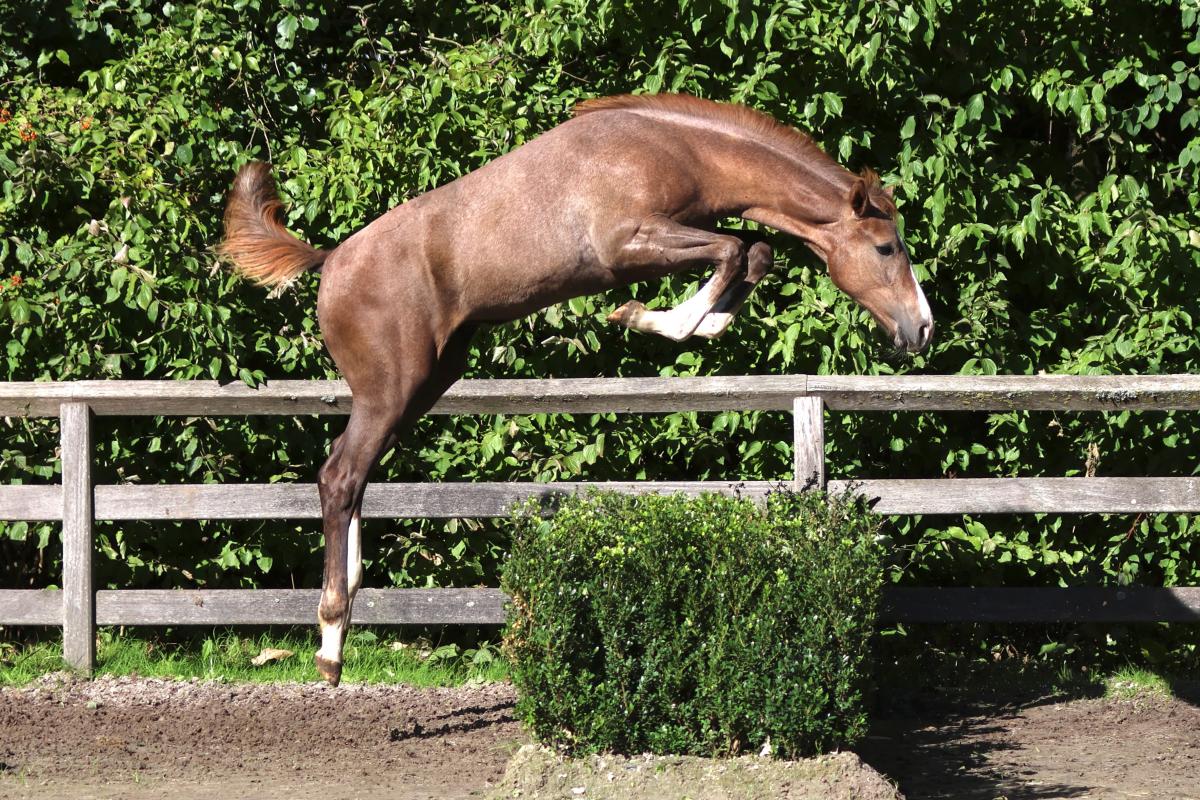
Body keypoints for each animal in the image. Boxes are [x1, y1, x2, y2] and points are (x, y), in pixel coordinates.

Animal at [218, 92, 934, 686]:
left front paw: (693, 323)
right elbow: (734, 251)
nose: (921, 328)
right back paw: (331, 641)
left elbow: (753, 253)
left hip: (423, 386)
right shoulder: (627, 244)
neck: (675, 148)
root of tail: (330, 263)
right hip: (390, 390)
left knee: (353, 478)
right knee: (339, 477)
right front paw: (646, 319)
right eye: (887, 247)